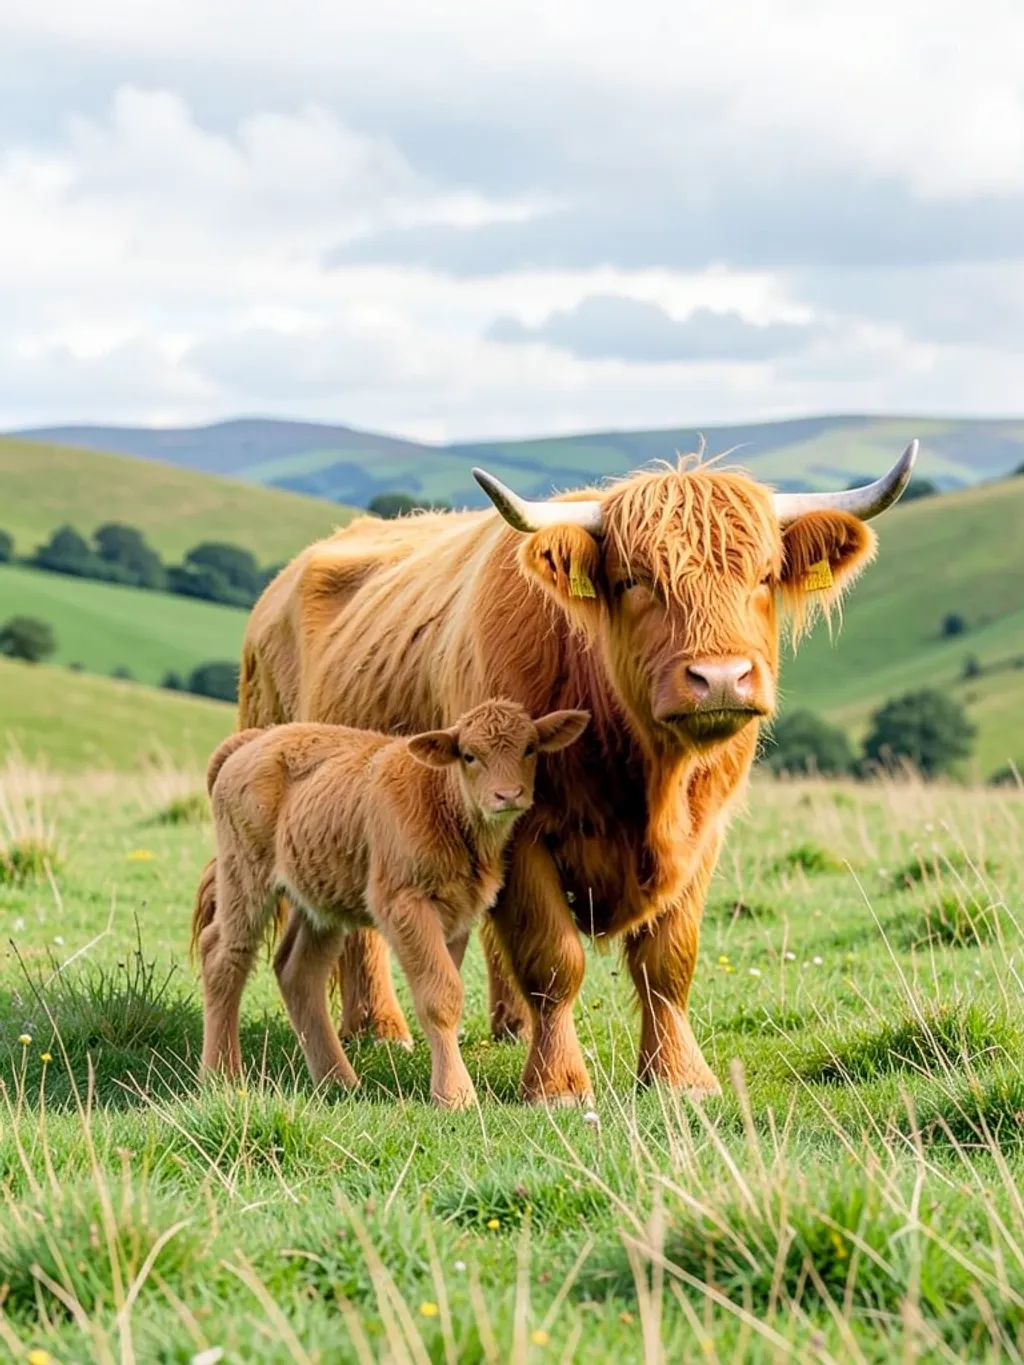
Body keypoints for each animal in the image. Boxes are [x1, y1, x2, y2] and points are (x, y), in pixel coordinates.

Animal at [194, 700, 589, 1107]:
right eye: (469, 755)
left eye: (530, 748)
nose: (508, 795)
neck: (438, 795)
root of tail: (252, 741)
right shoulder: (405, 905)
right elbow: (439, 996)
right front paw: (455, 1095)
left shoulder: (455, 915)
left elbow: (447, 988)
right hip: (244, 876)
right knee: (224, 955)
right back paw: (222, 1075)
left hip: (319, 899)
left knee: (298, 971)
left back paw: (337, 1080)